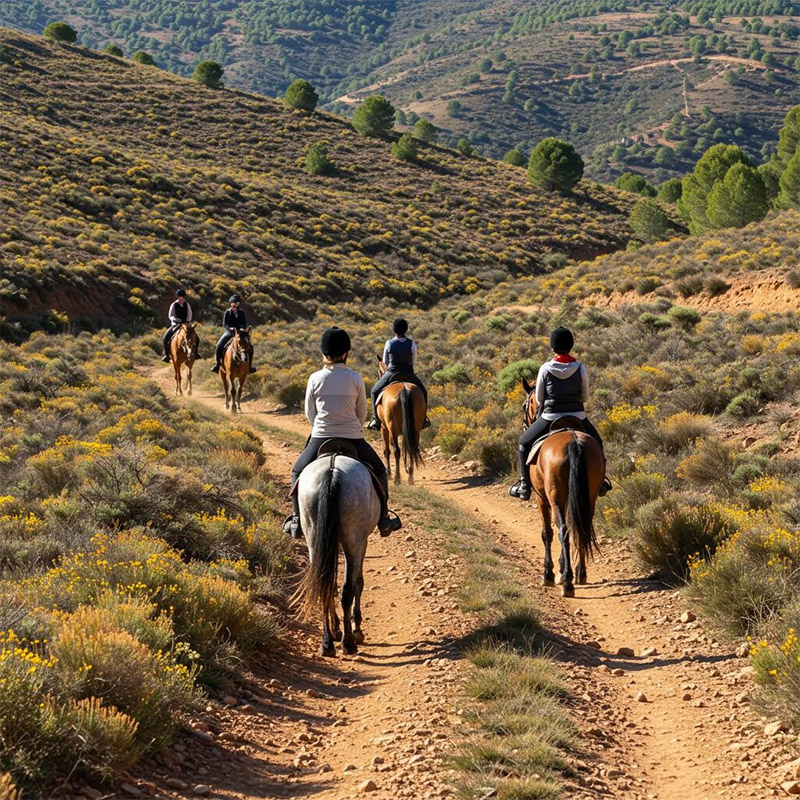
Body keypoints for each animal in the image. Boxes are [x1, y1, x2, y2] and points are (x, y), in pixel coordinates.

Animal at [295, 450, 381, 656]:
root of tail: (332, 471)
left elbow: (331, 584)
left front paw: (336, 629)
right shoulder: (362, 542)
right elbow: (358, 582)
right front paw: (357, 629)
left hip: (314, 539)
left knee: (323, 585)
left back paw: (327, 642)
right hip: (353, 540)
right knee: (347, 588)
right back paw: (349, 642)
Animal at [521, 377, 604, 597]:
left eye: (525, 405)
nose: (525, 423)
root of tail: (574, 442)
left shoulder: (542, 498)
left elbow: (547, 533)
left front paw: (549, 574)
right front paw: (561, 569)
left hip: (555, 496)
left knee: (564, 531)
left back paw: (567, 582)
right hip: (588, 496)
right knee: (581, 528)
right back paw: (579, 574)